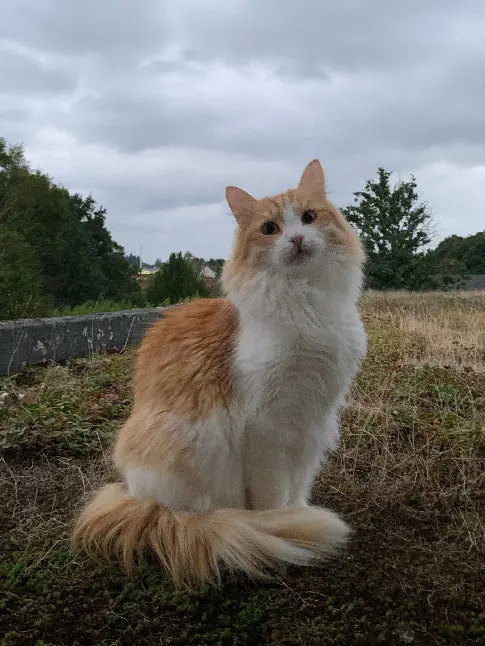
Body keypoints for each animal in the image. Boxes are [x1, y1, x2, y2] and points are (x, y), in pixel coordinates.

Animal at [73, 161, 366, 592]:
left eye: (309, 218)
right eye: (270, 228)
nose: (296, 238)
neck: (306, 305)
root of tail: (146, 504)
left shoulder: (313, 423)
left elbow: (298, 487)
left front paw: (297, 513)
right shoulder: (268, 427)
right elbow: (274, 498)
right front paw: (283, 525)